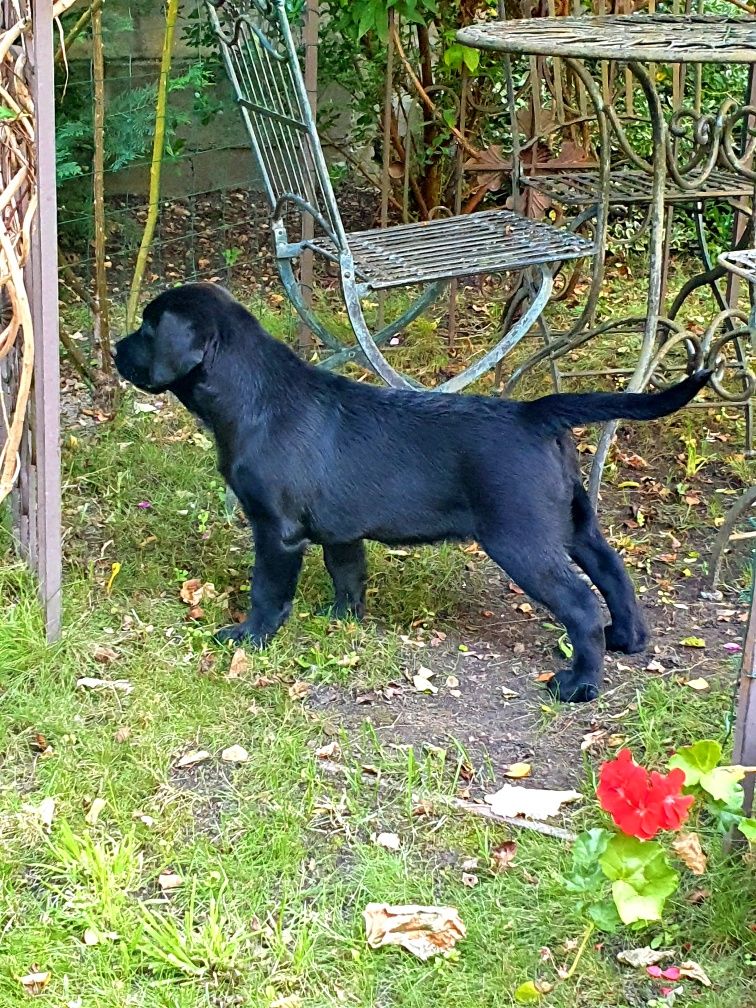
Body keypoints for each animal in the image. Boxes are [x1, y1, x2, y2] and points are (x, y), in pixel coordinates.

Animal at [115, 284, 713, 705]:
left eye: (146, 327)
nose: (117, 348)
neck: (255, 396)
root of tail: (536, 412)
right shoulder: (342, 531)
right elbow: (348, 576)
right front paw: (342, 620)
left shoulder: (276, 531)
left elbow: (267, 591)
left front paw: (249, 637)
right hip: (574, 522)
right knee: (614, 572)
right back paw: (628, 640)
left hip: (520, 539)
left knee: (582, 604)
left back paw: (580, 684)